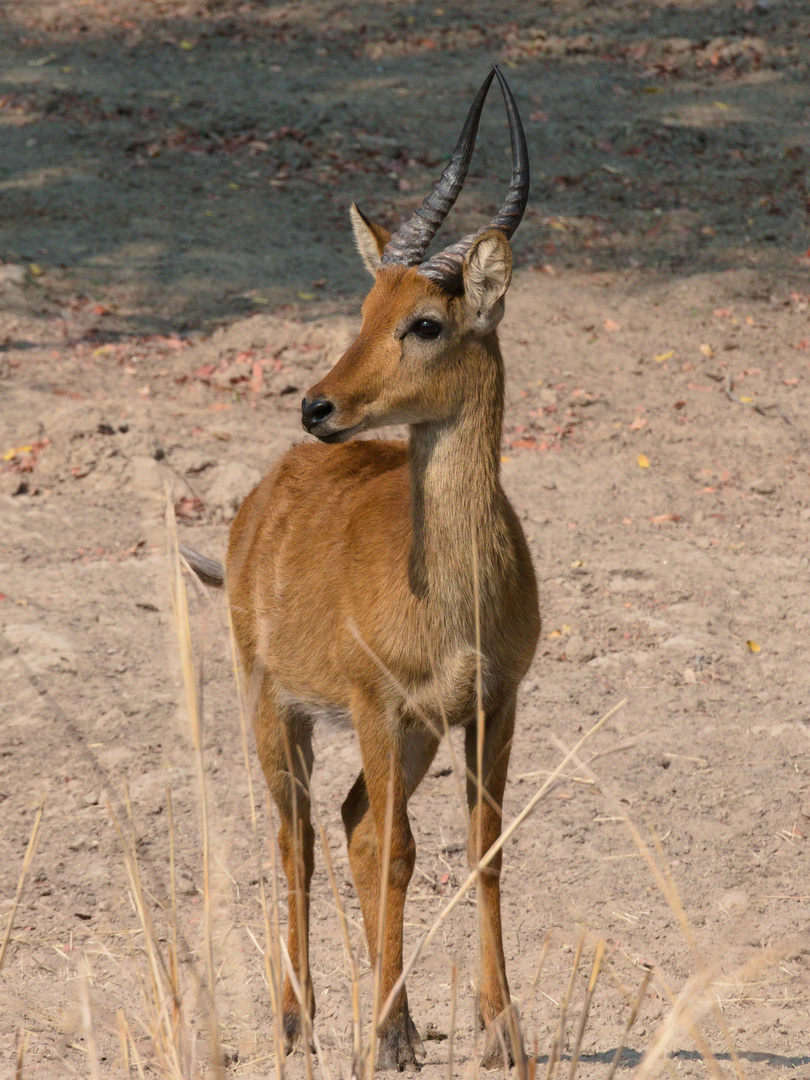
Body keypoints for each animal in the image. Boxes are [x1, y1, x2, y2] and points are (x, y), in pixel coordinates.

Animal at [182, 67, 540, 1071]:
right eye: (364, 311)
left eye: (424, 320)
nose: (317, 405)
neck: (455, 596)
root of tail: (263, 494)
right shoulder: (378, 707)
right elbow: (403, 854)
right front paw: (382, 1038)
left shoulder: (492, 703)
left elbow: (482, 846)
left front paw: (501, 1031)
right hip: (278, 711)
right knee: (298, 837)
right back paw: (300, 1022)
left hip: (410, 736)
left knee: (352, 824)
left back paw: (401, 1021)